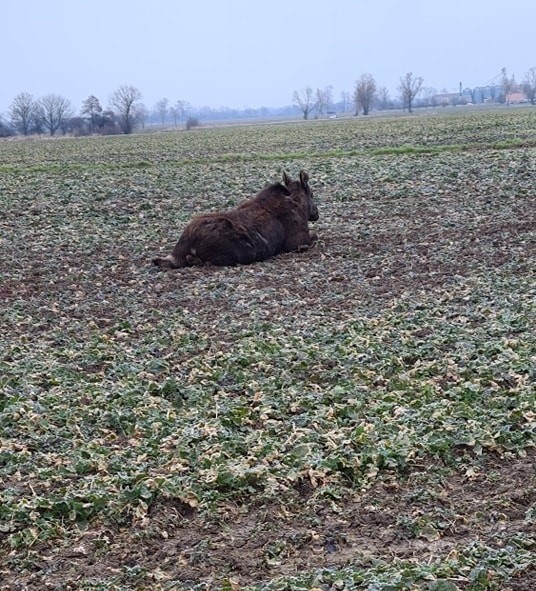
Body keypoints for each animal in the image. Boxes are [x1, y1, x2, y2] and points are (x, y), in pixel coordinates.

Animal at [152, 170, 318, 270]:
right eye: (312, 194)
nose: (316, 213)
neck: (300, 204)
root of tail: (181, 245)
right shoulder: (297, 243)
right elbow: (314, 235)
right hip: (242, 253)